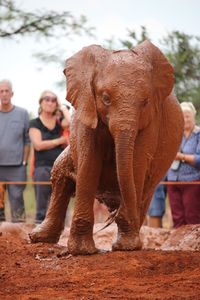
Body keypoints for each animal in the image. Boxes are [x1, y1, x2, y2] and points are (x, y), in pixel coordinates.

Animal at [28, 40, 184, 255]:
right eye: (105, 98)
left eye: (145, 102)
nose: (117, 214)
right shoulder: (87, 106)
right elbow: (88, 162)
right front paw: (82, 252)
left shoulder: (151, 121)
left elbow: (136, 164)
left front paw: (126, 247)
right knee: (59, 172)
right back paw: (38, 238)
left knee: (145, 191)